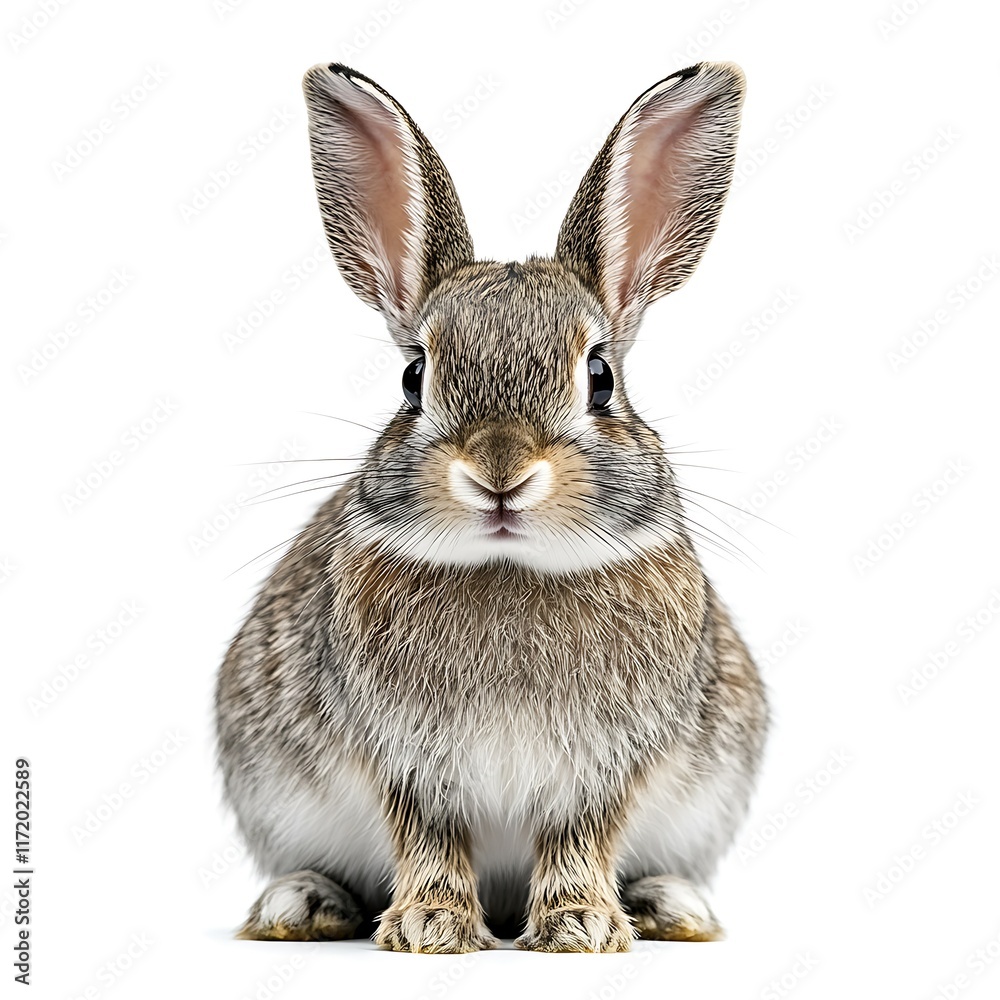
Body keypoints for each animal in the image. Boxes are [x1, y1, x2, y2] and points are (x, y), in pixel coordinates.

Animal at [215, 60, 768, 953]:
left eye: (600, 376)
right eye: (414, 377)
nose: (500, 472)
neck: (509, 565)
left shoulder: (603, 768)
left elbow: (580, 837)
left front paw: (581, 925)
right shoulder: (409, 762)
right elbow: (429, 837)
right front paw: (430, 925)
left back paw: (669, 906)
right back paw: (300, 903)